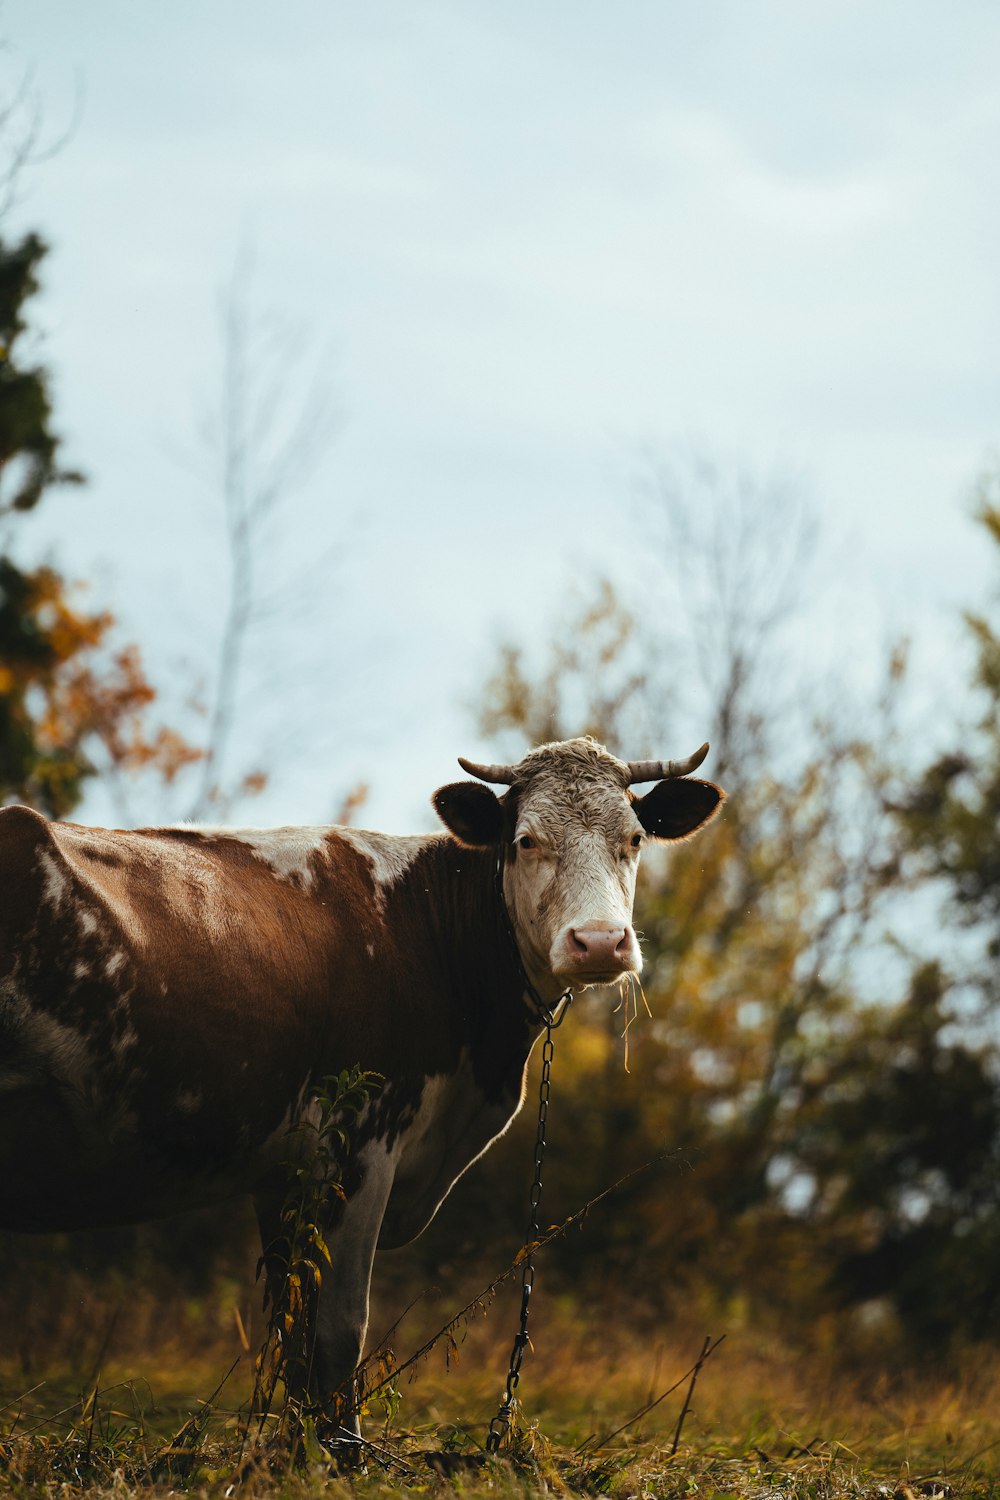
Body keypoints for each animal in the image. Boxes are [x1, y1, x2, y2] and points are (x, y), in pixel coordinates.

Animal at [0, 738, 722, 1440]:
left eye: (635, 838)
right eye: (525, 840)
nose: (599, 942)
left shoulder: (283, 1173)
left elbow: (292, 1330)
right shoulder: (358, 1145)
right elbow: (338, 1330)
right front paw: (341, 1452)